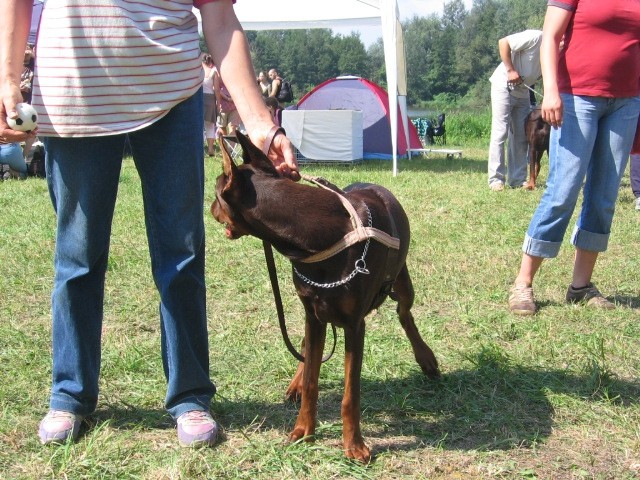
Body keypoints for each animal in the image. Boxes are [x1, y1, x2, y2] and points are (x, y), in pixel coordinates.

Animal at [210, 133, 440, 464]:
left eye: (216, 192)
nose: (209, 209)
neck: (320, 239)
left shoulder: (355, 324)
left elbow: (350, 393)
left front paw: (355, 445)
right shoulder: (314, 313)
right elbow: (311, 378)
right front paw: (302, 430)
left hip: (402, 282)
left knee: (405, 313)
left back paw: (426, 358)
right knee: (306, 348)